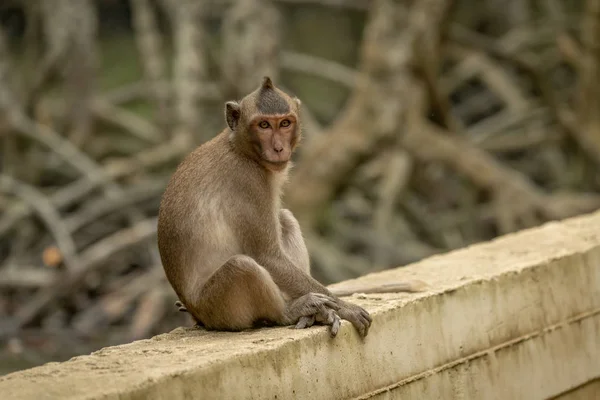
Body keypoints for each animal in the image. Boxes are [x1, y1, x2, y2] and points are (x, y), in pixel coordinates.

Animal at [156, 77, 426, 338]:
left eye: (285, 123)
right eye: (264, 125)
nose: (278, 148)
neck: (241, 149)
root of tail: (196, 311)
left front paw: (333, 308)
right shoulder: (247, 180)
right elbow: (267, 256)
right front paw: (346, 308)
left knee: (284, 218)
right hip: (217, 308)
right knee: (243, 266)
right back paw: (288, 312)